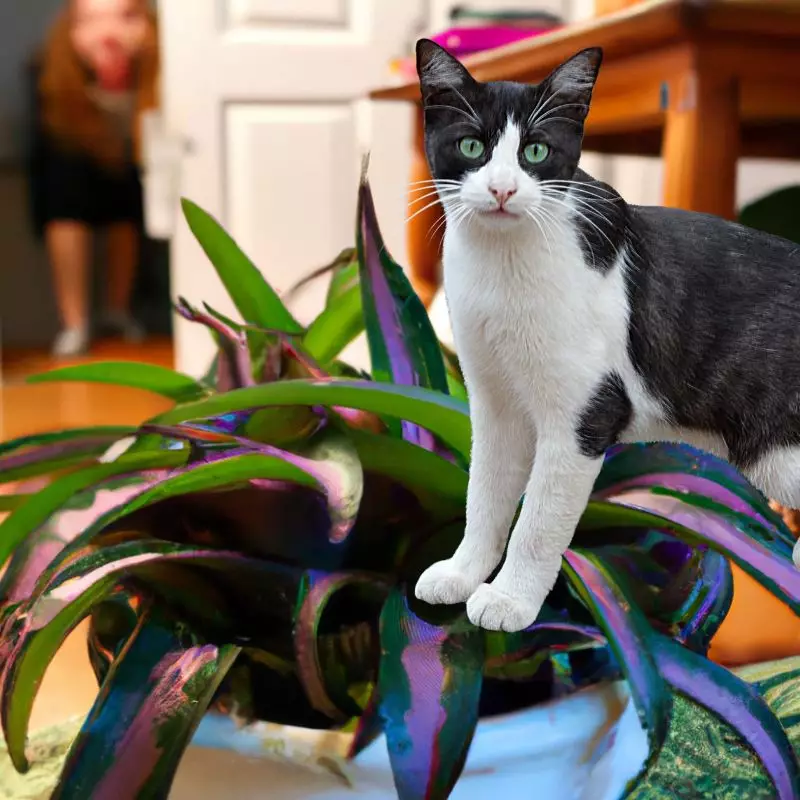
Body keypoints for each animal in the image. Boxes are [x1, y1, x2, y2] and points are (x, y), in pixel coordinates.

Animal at [412, 39, 800, 632]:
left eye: (536, 153)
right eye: (472, 145)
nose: (502, 189)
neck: (504, 266)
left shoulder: (584, 416)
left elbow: (539, 523)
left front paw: (510, 600)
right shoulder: (494, 405)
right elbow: (484, 494)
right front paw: (463, 572)